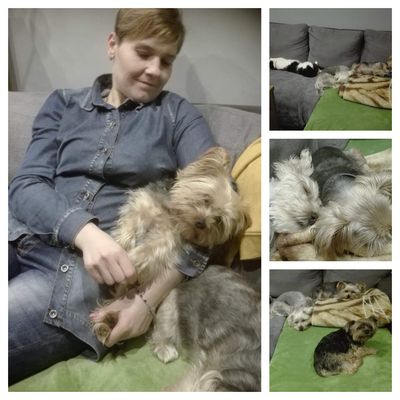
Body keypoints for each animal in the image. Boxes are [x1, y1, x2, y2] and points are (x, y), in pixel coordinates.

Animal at [90, 146, 251, 345]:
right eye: (206, 199)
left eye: (219, 220)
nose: (201, 223)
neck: (172, 215)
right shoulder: (143, 205)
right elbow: (129, 224)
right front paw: (120, 244)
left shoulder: (169, 238)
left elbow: (151, 249)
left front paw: (134, 260)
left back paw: (106, 324)